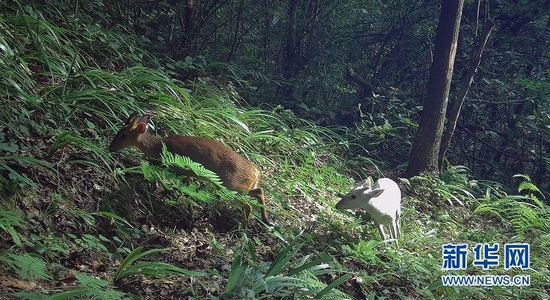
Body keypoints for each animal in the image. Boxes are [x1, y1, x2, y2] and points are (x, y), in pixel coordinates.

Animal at [110, 112, 274, 225]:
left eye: (123, 135)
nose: (110, 147)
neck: (159, 147)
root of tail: (256, 173)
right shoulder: (186, 173)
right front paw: (190, 213)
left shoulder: (181, 169)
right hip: (236, 187)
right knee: (259, 191)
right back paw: (266, 219)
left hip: (231, 186)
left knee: (249, 204)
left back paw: (244, 225)